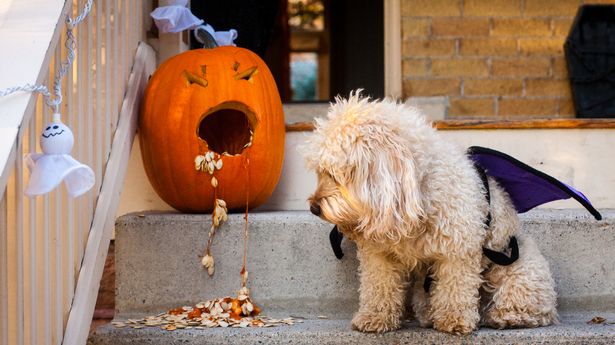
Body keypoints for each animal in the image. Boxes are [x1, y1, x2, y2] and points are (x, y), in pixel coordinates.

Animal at [304, 91, 560, 334]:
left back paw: (505, 316)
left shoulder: (458, 251)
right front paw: (374, 317)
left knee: (531, 306)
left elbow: (455, 288)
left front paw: (454, 320)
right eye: (320, 171)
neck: (416, 192)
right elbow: (379, 286)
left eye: (334, 174)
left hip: (521, 271)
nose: (313, 207)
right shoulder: (380, 255)